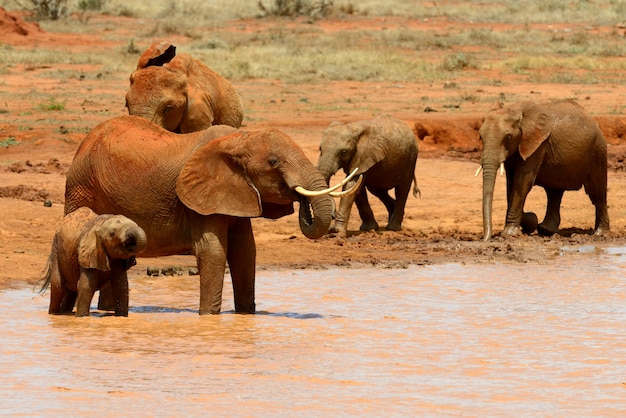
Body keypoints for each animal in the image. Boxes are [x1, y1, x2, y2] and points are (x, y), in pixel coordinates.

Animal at [65, 116, 354, 316]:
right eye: (273, 162)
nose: (301, 200)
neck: (239, 139)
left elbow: (245, 252)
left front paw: (246, 315)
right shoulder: (199, 199)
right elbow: (213, 252)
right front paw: (208, 317)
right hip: (81, 186)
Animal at [476, 99, 608, 240]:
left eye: (508, 137)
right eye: (480, 137)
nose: (485, 239)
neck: (515, 111)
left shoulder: (538, 145)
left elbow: (522, 182)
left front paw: (510, 234)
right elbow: (511, 184)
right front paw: (530, 222)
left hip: (598, 152)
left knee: (597, 193)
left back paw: (600, 234)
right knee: (554, 192)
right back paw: (546, 230)